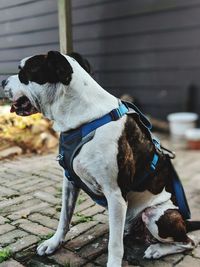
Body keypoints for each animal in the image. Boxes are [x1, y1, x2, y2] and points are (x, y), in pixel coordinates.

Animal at [2, 50, 200, 267]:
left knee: (188, 242)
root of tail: (185, 221)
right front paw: (53, 243)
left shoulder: (115, 194)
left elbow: (114, 244)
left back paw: (157, 249)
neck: (83, 118)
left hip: (157, 215)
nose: (3, 81)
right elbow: (64, 218)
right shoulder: (70, 183)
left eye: (24, 72)